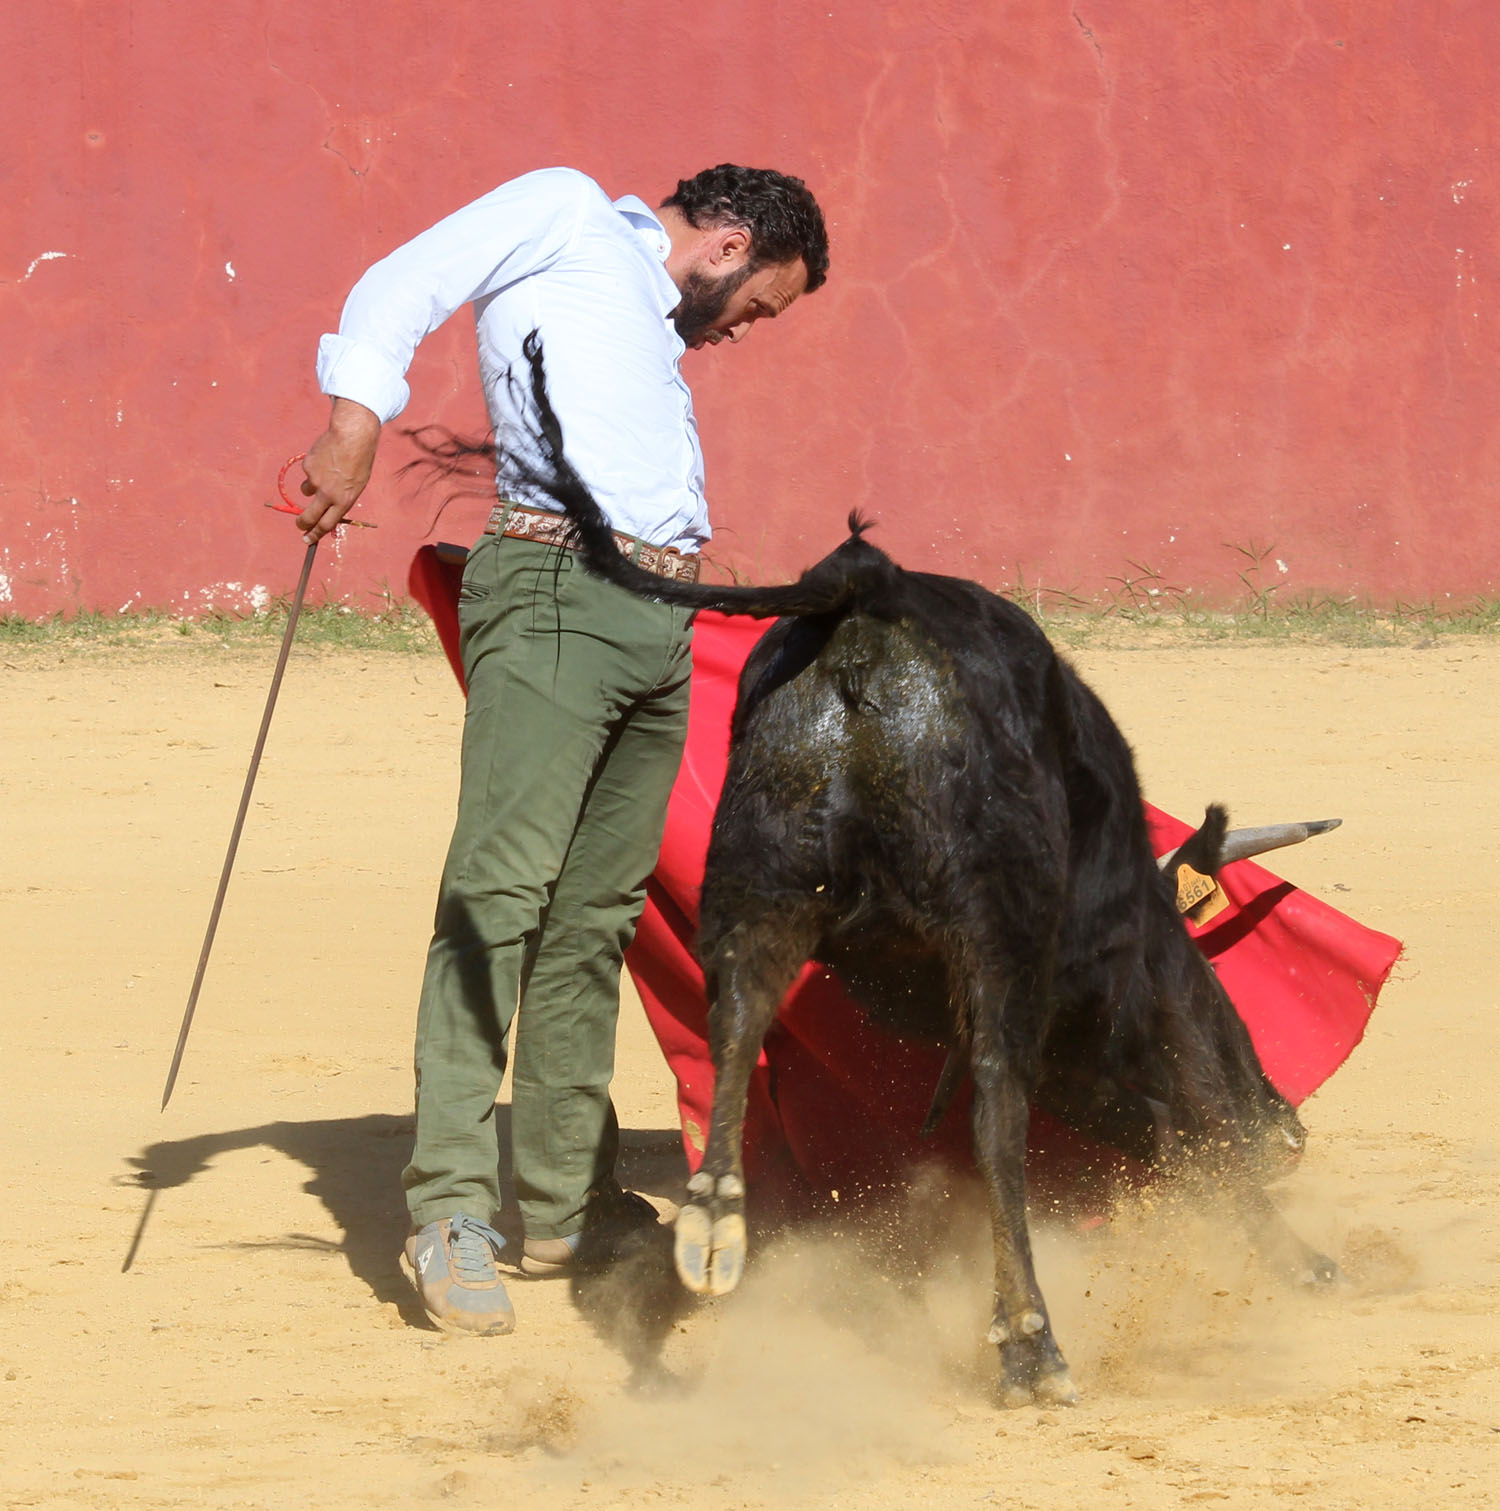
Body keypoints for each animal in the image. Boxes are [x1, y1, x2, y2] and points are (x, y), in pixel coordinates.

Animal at [441, 336, 1335, 1408]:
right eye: (1219, 987)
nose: (1290, 1133)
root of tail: (869, 595)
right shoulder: (1136, 984)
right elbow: (1195, 1111)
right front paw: (1301, 1257)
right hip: (996, 925)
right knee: (997, 1108)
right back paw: (1032, 1342)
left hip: (759, 882)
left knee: (736, 1024)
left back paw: (714, 1225)